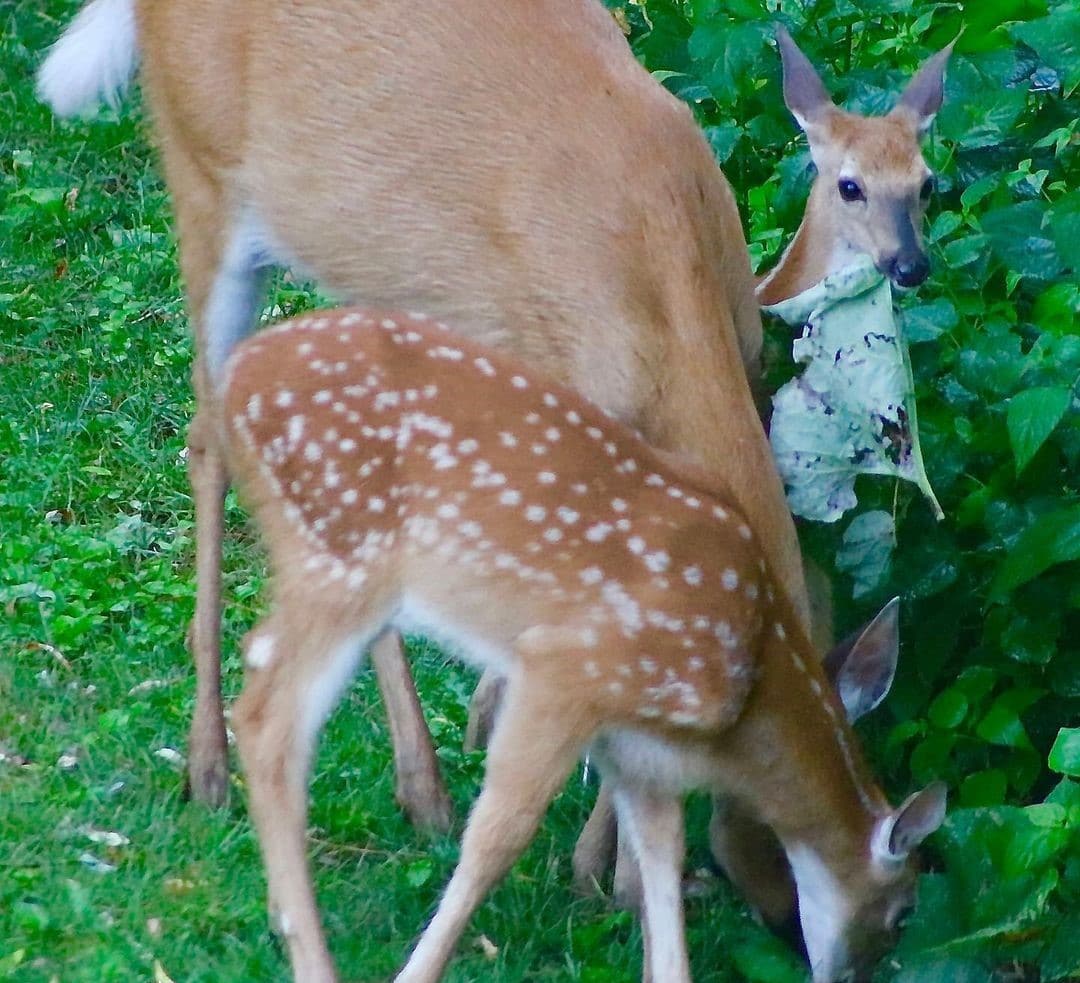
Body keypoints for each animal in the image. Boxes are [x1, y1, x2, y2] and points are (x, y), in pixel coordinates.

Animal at [221, 306, 946, 983]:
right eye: (903, 910)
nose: (831, 966)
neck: (746, 691)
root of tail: (235, 377)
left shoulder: (639, 755)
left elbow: (660, 875)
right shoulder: (568, 666)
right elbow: (498, 835)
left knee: (257, 669)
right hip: (345, 558)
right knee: (265, 721)